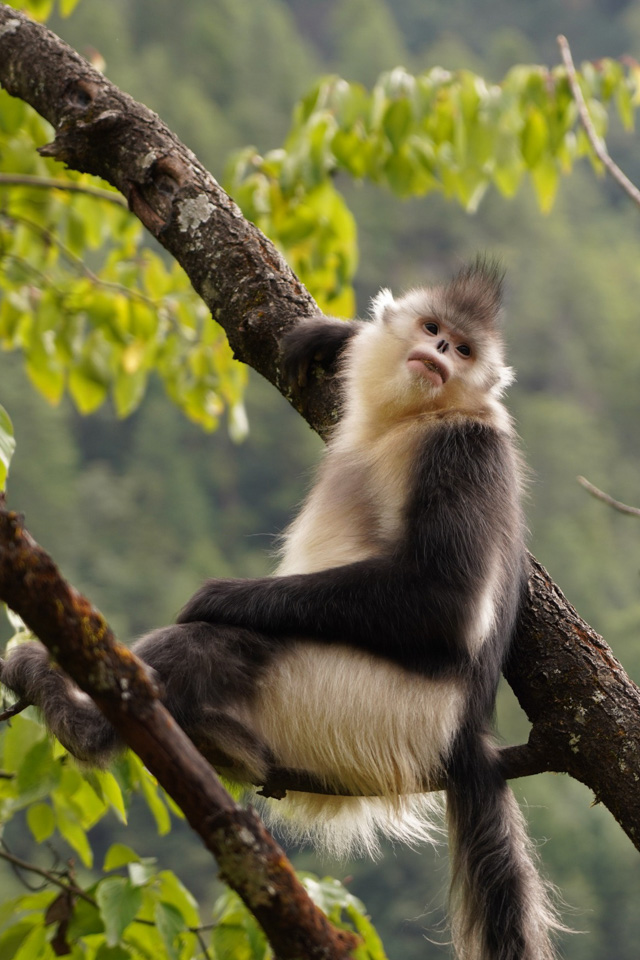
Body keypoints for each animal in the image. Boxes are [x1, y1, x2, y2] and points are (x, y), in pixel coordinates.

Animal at [0, 258, 560, 960]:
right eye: (433, 330)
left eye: (462, 350)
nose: (436, 356)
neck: (410, 420)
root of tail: (464, 737)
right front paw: (335, 336)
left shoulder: (465, 447)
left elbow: (445, 602)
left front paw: (216, 595)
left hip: (365, 710)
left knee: (215, 644)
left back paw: (91, 718)